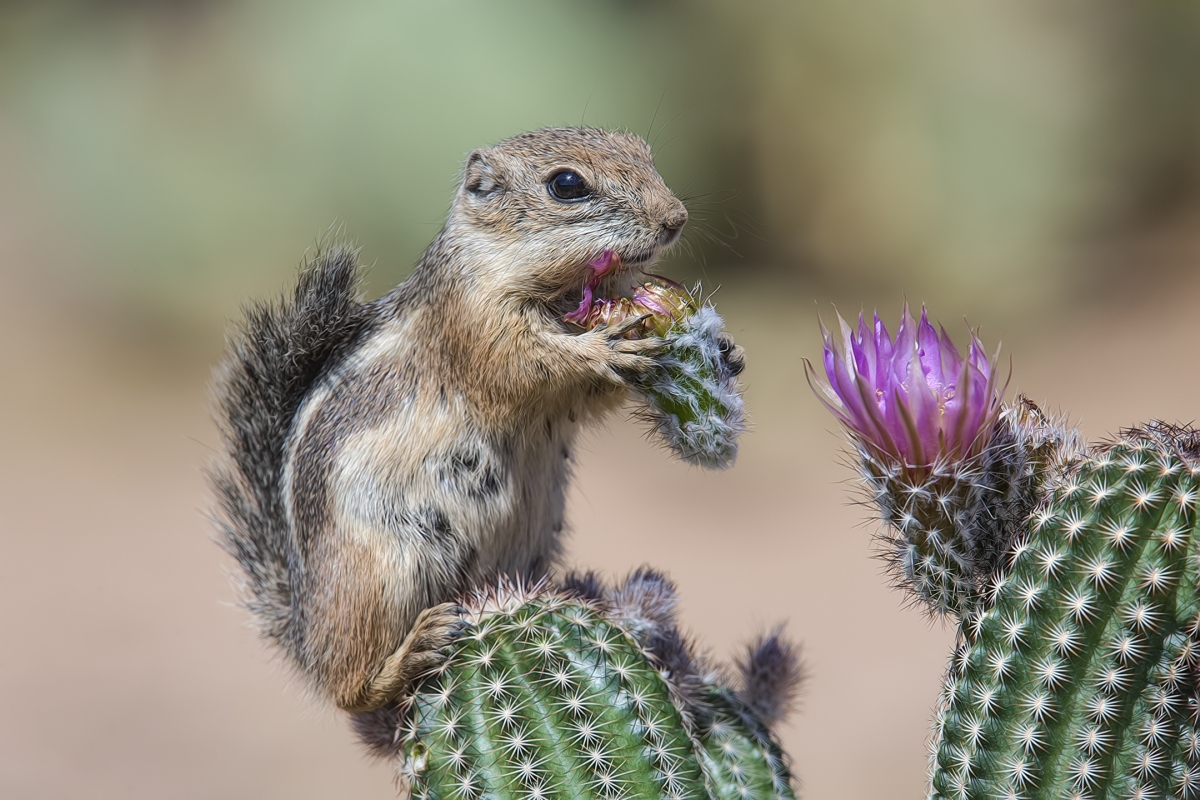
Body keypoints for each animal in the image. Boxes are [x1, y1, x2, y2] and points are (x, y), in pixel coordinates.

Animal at [211, 128, 715, 714]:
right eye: (567, 185)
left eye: (642, 151)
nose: (676, 217)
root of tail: (302, 628)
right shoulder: (474, 319)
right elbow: (522, 364)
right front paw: (603, 348)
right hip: (380, 574)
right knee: (346, 689)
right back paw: (406, 655)